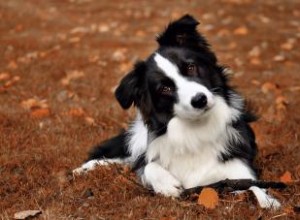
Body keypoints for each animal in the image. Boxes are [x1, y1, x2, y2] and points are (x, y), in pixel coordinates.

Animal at [74, 14, 280, 209]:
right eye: (165, 88)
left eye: (190, 67)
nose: (199, 100)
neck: (197, 128)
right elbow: (147, 165)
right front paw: (166, 184)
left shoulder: (240, 167)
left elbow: (254, 185)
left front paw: (268, 202)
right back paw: (83, 169)